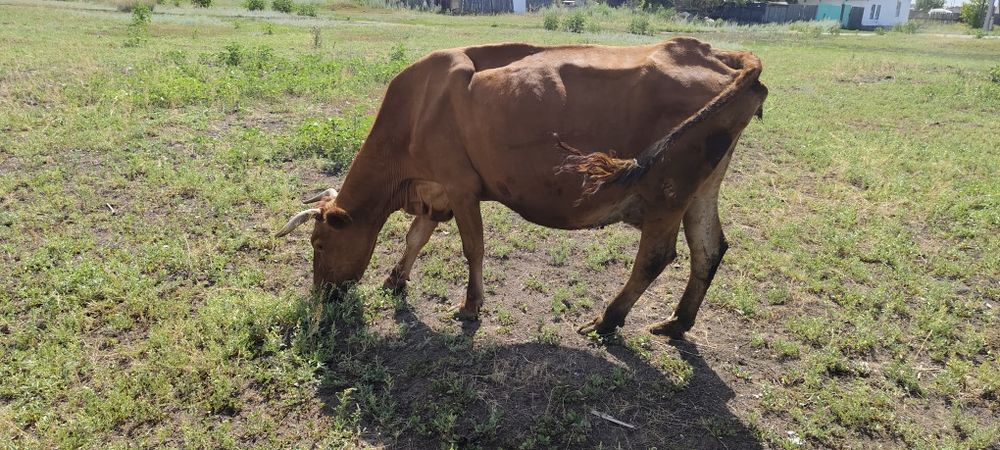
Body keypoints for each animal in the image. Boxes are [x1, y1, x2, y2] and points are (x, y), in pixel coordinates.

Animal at [275, 37, 767, 339]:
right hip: (701, 187)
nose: (321, 296)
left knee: (656, 257)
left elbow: (472, 247)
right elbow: (417, 236)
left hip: (668, 188)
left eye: (319, 244)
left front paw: (471, 306)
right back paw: (676, 323)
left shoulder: (460, 185)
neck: (415, 112)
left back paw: (607, 321)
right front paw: (395, 280)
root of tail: (716, 52)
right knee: (709, 248)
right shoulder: (435, 190)